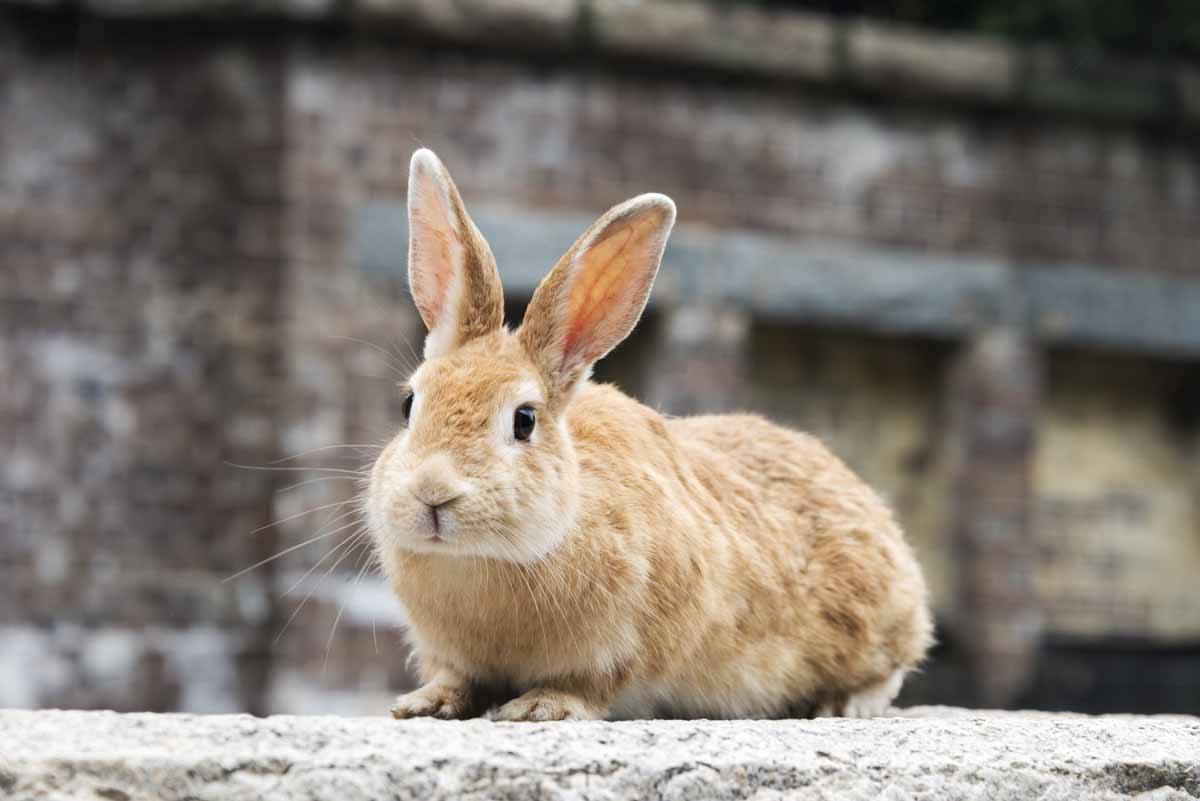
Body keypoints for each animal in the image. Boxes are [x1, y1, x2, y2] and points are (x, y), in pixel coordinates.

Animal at [367, 146, 936, 724]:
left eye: (524, 420)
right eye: (409, 405)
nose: (433, 493)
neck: (483, 561)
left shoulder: (631, 642)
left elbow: (593, 683)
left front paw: (540, 708)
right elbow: (456, 677)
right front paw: (426, 702)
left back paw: (844, 704)